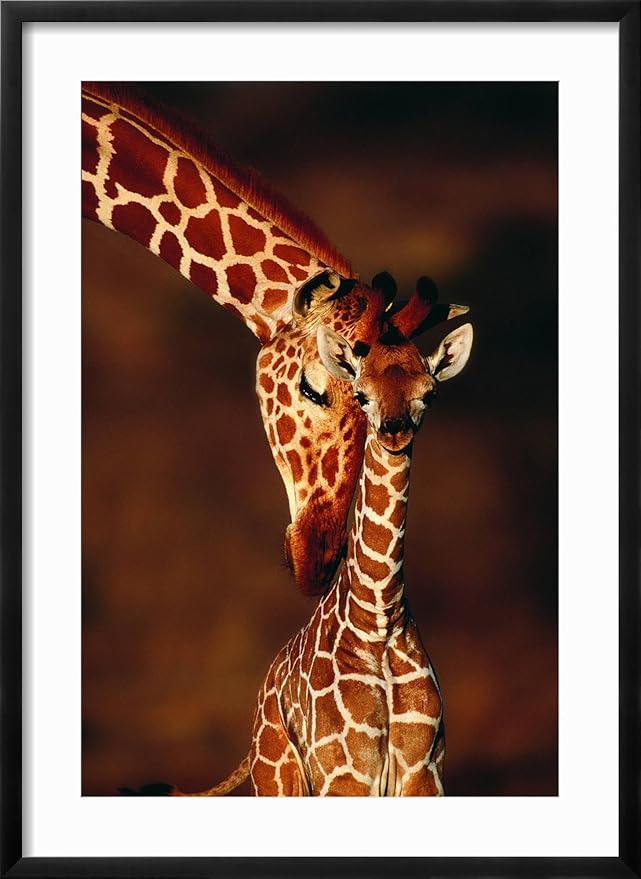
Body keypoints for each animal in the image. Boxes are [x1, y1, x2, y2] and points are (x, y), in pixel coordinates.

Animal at [171, 296, 472, 796]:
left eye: (429, 393)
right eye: (362, 394)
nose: (394, 431)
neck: (379, 620)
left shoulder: (424, 772)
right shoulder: (345, 774)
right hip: (279, 778)